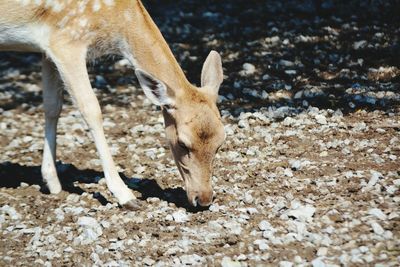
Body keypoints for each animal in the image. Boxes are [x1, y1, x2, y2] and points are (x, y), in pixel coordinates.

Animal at [0, 0, 225, 210]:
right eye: (182, 143)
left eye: (220, 144)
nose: (204, 199)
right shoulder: (66, 41)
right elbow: (91, 109)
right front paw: (125, 195)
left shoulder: (47, 49)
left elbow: (52, 106)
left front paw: (52, 183)